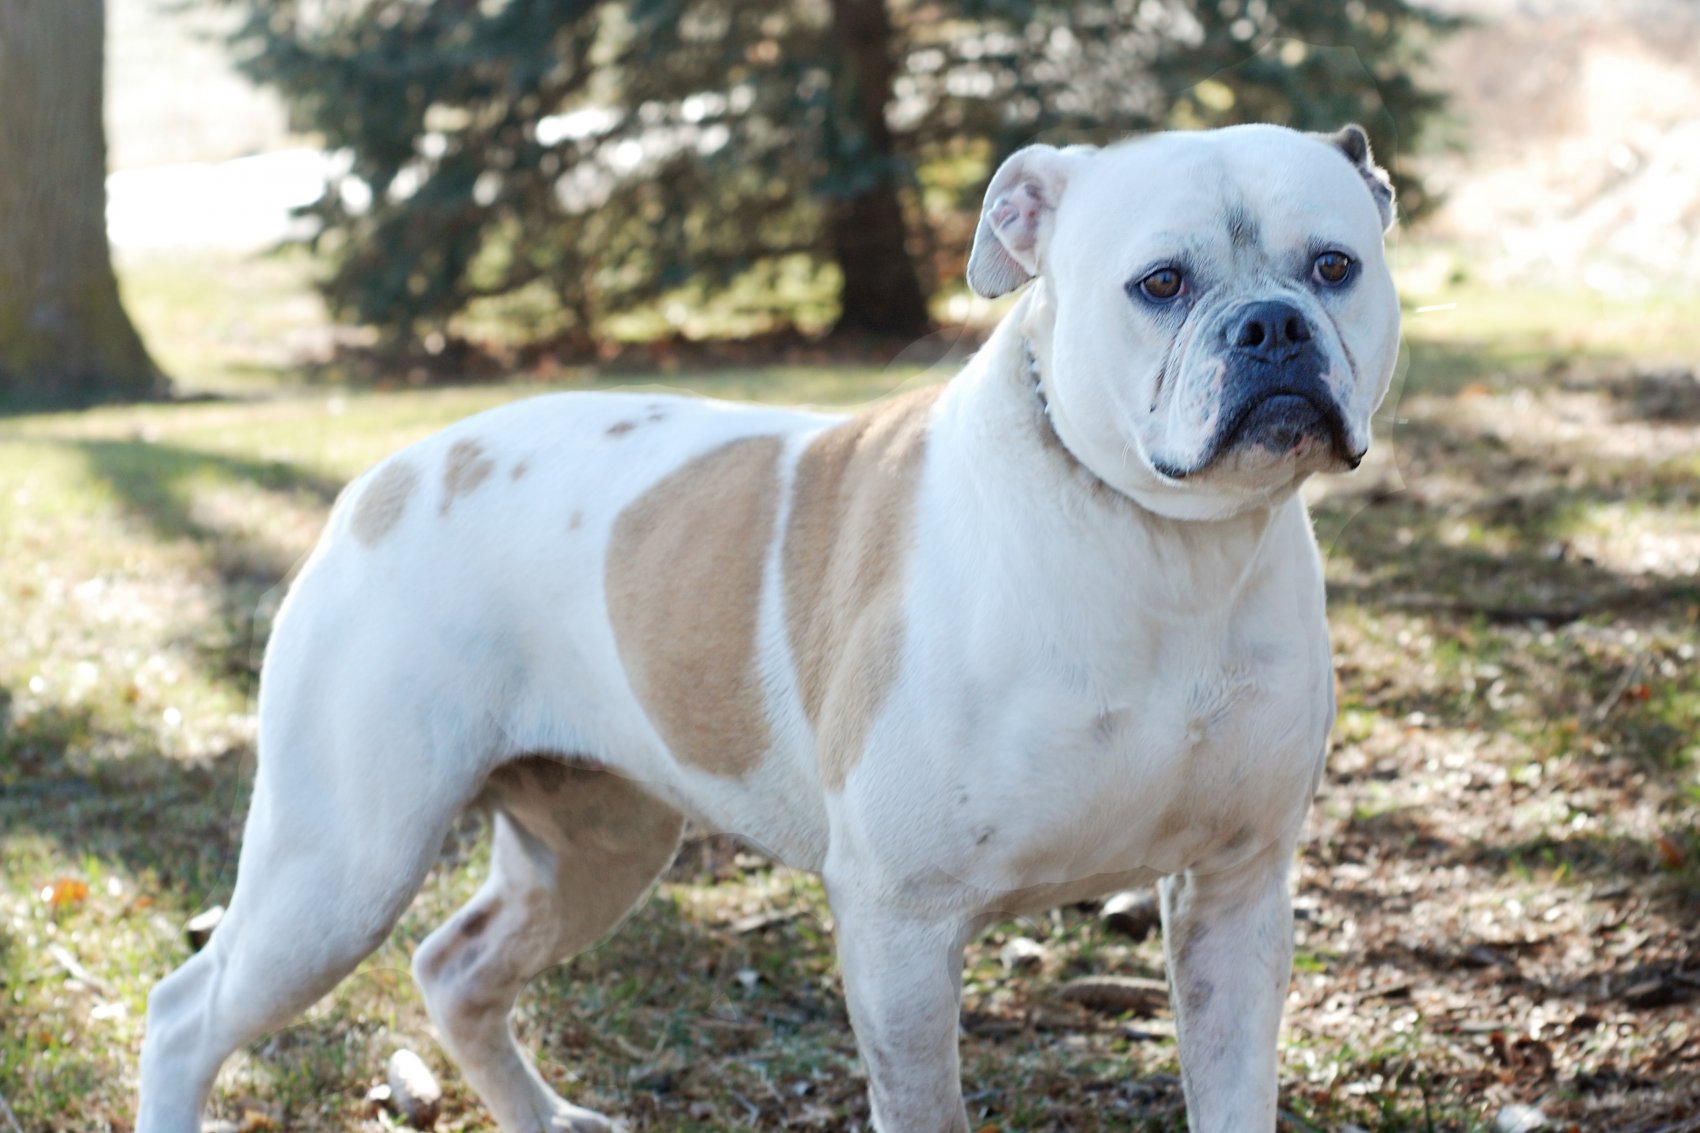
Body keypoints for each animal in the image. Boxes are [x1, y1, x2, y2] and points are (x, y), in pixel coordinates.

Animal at [139, 123, 1394, 1129]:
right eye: (1160, 283)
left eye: (1334, 265)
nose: (1272, 326)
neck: (1163, 548)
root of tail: (385, 478)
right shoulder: (900, 924)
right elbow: (923, 1104)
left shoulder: (1233, 891)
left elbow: (1230, 1088)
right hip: (340, 864)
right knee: (188, 1010)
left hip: (595, 843)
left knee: (456, 966)